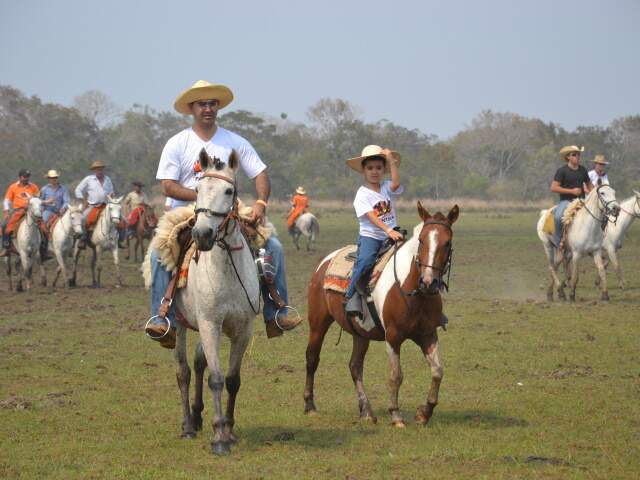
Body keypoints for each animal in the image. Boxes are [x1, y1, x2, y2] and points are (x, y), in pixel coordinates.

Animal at [172, 148, 260, 456]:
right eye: (197, 190)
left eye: (228, 190)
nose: (202, 235)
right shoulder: (211, 324)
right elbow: (216, 378)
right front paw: (220, 436)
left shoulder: (242, 330)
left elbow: (232, 379)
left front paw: (229, 430)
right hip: (180, 324)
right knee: (184, 371)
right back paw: (188, 426)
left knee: (198, 363)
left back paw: (198, 416)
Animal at [304, 202, 458, 428]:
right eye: (421, 240)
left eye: (447, 243)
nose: (428, 282)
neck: (411, 290)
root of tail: (324, 262)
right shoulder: (393, 337)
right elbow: (396, 375)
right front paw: (396, 415)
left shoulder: (428, 334)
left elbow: (438, 371)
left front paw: (424, 413)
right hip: (318, 323)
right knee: (312, 358)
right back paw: (310, 406)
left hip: (360, 333)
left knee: (355, 366)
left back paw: (366, 411)